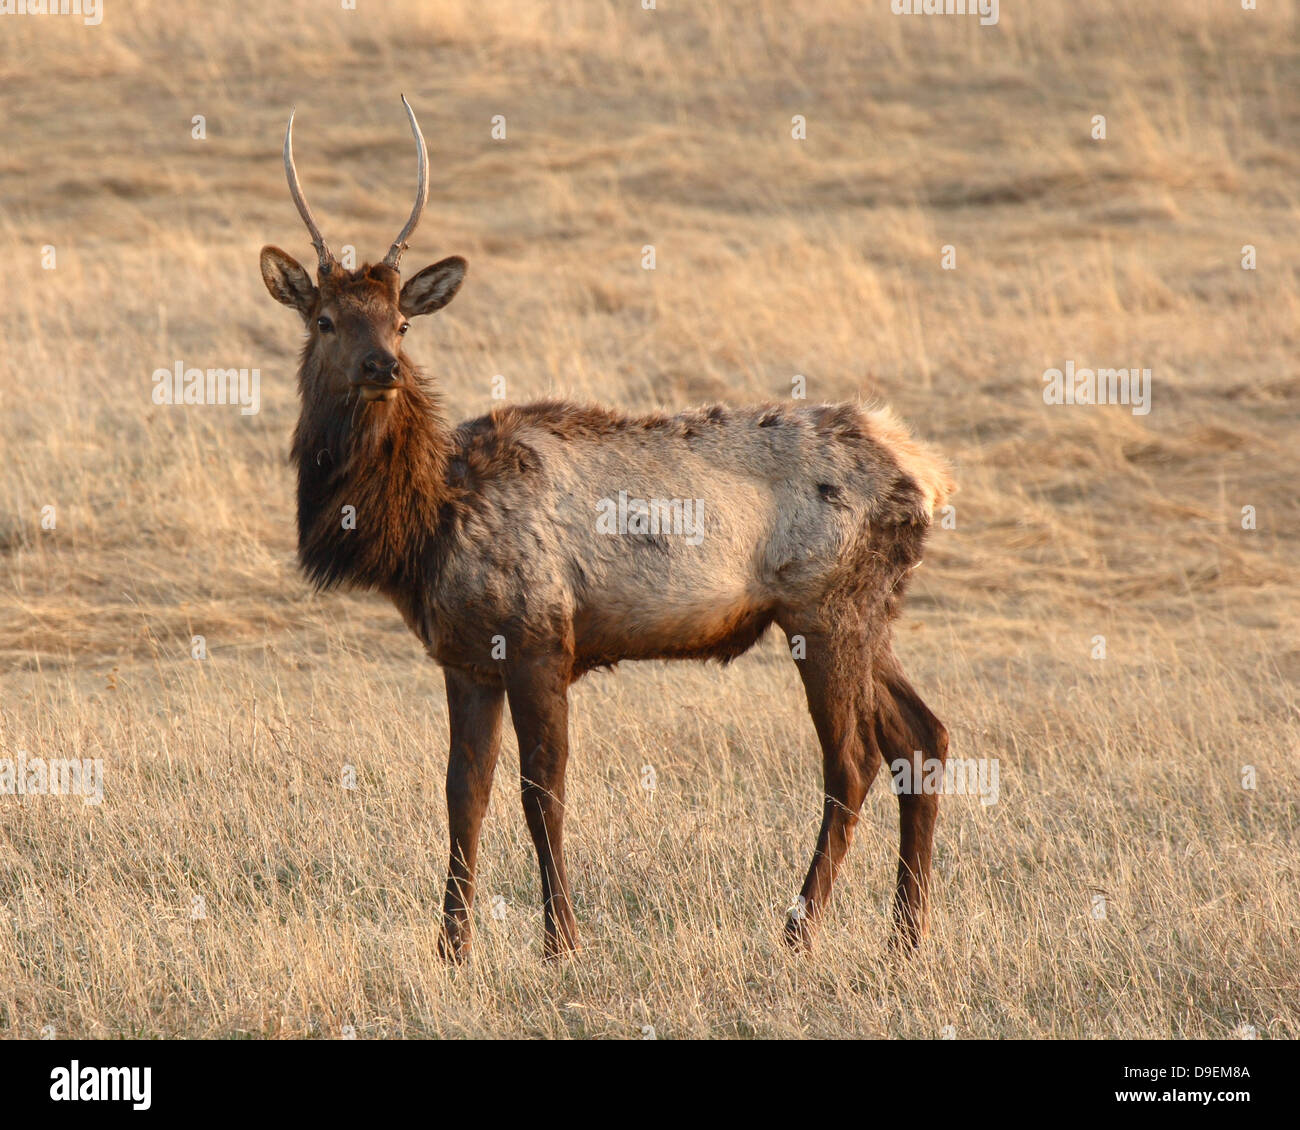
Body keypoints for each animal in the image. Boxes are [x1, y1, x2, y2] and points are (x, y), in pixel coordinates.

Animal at [258, 98, 955, 961]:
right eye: (324, 319)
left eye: (400, 323)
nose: (381, 366)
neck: (427, 526)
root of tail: (926, 474)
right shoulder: (465, 658)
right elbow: (463, 794)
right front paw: (452, 947)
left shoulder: (539, 638)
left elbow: (541, 792)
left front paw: (561, 941)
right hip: (870, 614)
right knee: (922, 738)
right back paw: (905, 937)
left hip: (823, 608)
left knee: (853, 760)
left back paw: (798, 931)